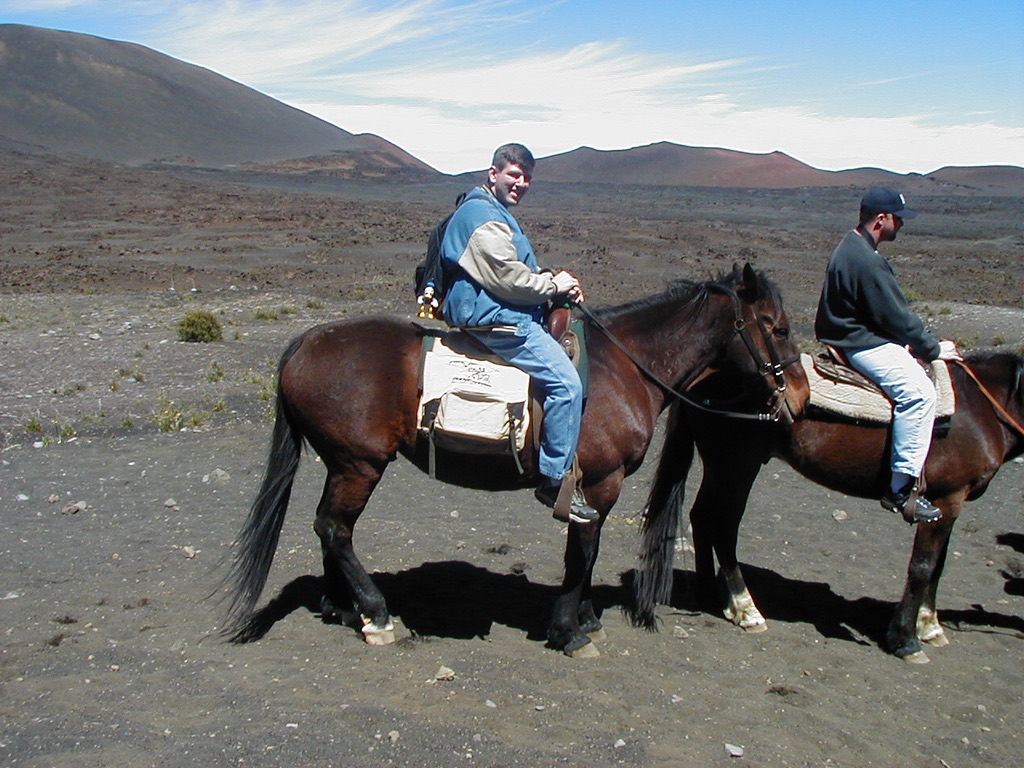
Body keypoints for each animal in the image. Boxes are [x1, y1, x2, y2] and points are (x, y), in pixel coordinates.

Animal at [220, 264, 786, 655]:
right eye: (776, 327)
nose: (790, 398)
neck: (626, 365)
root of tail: (305, 341)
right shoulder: (598, 484)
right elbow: (584, 551)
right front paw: (569, 630)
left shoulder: (594, 488)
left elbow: (585, 550)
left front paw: (584, 619)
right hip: (359, 464)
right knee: (335, 528)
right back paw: (376, 615)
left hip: (343, 464)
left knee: (330, 527)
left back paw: (343, 607)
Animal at [630, 348, 1024, 663]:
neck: (980, 410)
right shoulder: (946, 498)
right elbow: (923, 567)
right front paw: (905, 639)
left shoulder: (951, 504)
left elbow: (938, 567)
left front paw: (929, 626)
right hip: (738, 467)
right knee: (724, 526)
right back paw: (745, 608)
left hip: (721, 466)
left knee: (702, 517)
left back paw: (711, 595)